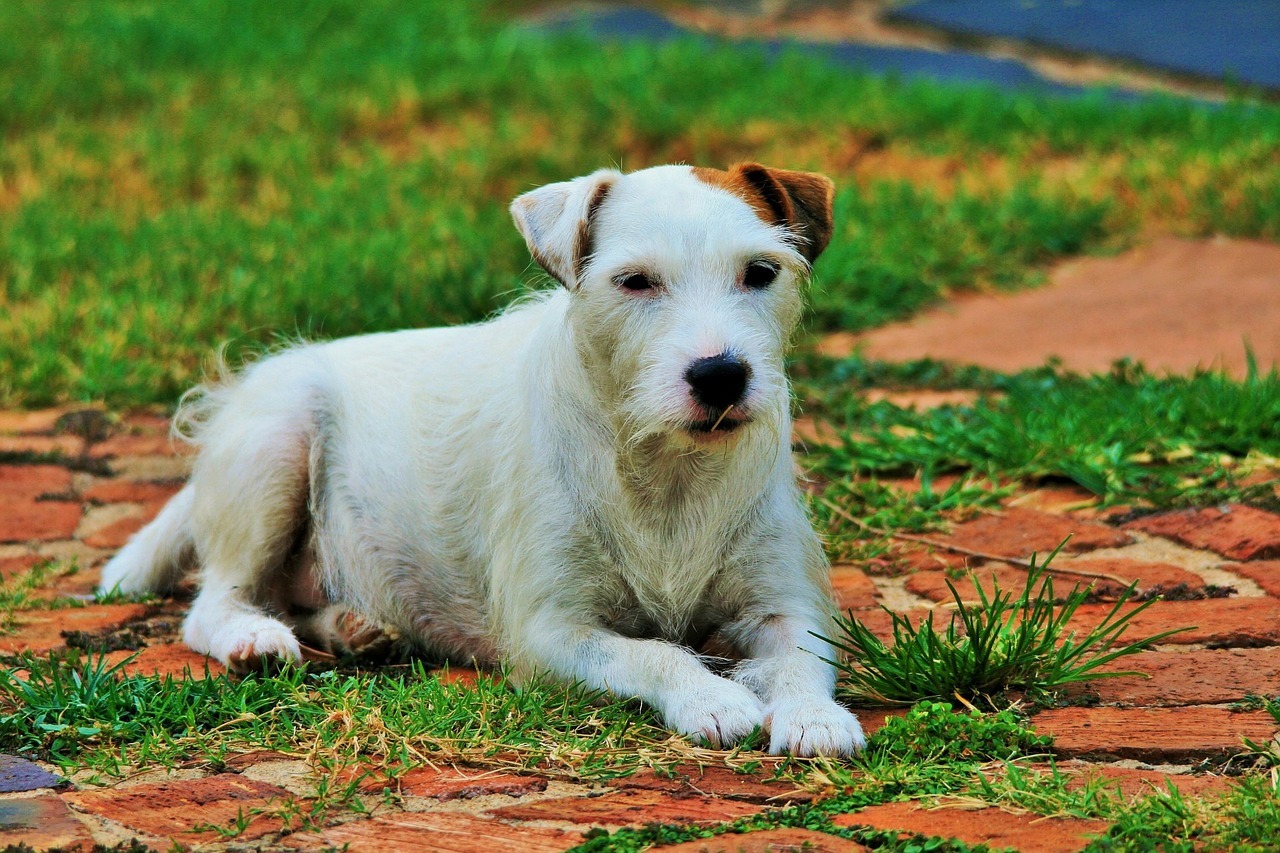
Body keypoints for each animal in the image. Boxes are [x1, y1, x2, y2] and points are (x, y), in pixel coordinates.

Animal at [102, 162, 870, 753]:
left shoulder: (785, 604)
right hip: (277, 440)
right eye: (635, 282)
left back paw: (355, 627)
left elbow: (802, 657)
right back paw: (256, 637)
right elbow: (652, 651)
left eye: (760, 272)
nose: (721, 375)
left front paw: (814, 715)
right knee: (216, 602)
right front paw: (711, 696)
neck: (665, 467)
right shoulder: (551, 632)